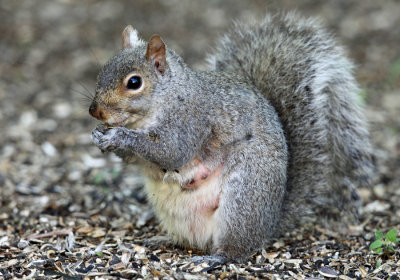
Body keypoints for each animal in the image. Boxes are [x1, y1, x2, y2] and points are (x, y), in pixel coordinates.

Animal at [89, 12, 374, 262]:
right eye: (101, 71)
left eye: (134, 82)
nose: (94, 111)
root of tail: (270, 222)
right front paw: (99, 135)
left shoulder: (192, 121)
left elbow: (172, 151)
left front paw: (119, 136)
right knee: (190, 241)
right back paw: (164, 240)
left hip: (244, 197)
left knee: (237, 248)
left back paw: (218, 257)